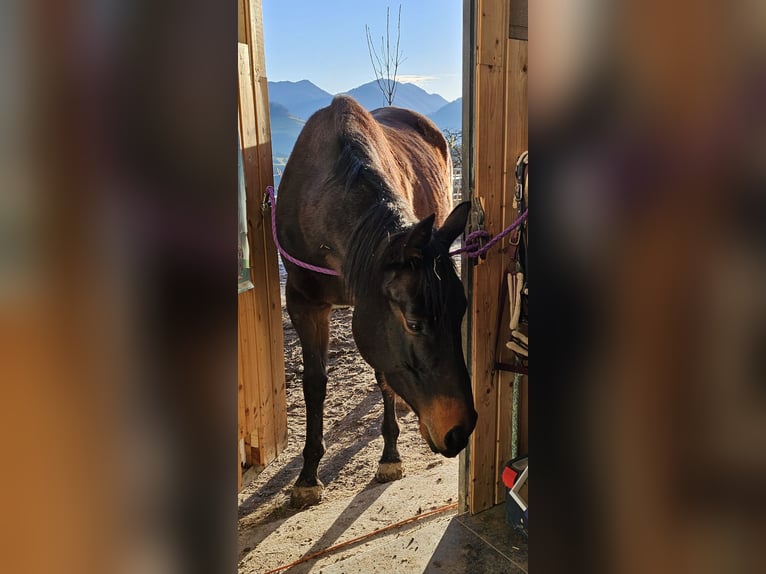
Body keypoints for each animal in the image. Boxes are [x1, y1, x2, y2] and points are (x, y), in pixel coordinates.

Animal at [275, 94, 477, 507]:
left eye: (460, 314)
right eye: (414, 323)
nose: (459, 431)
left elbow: (384, 374)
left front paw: (390, 457)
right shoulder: (304, 305)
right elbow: (314, 382)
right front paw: (308, 476)